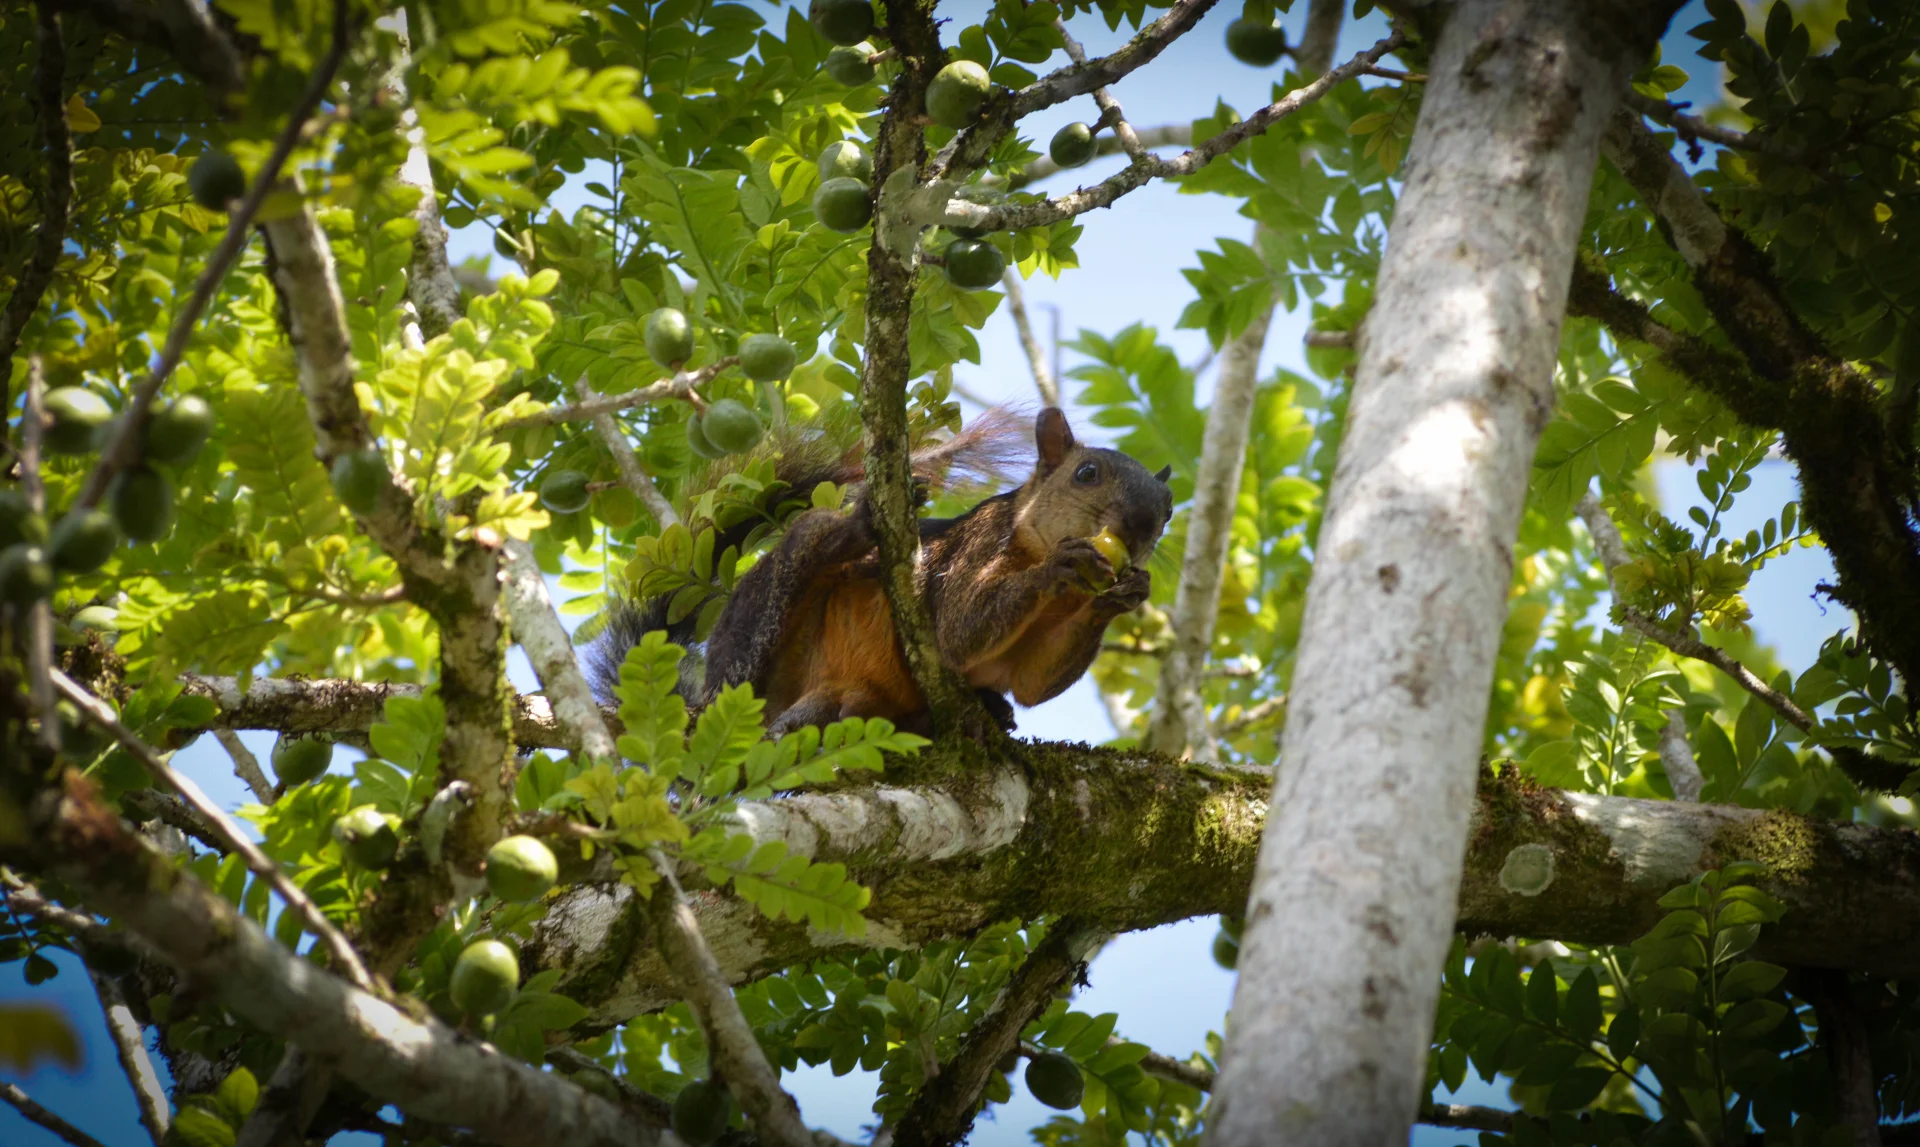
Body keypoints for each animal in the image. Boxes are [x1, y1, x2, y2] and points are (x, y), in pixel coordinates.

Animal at [586, 407, 1173, 736]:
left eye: (1168, 508)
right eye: (1087, 473)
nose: (1143, 524)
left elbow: (1031, 685)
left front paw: (1122, 595)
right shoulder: (977, 545)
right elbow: (958, 631)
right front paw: (1062, 564)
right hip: (754, 651)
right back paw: (855, 531)